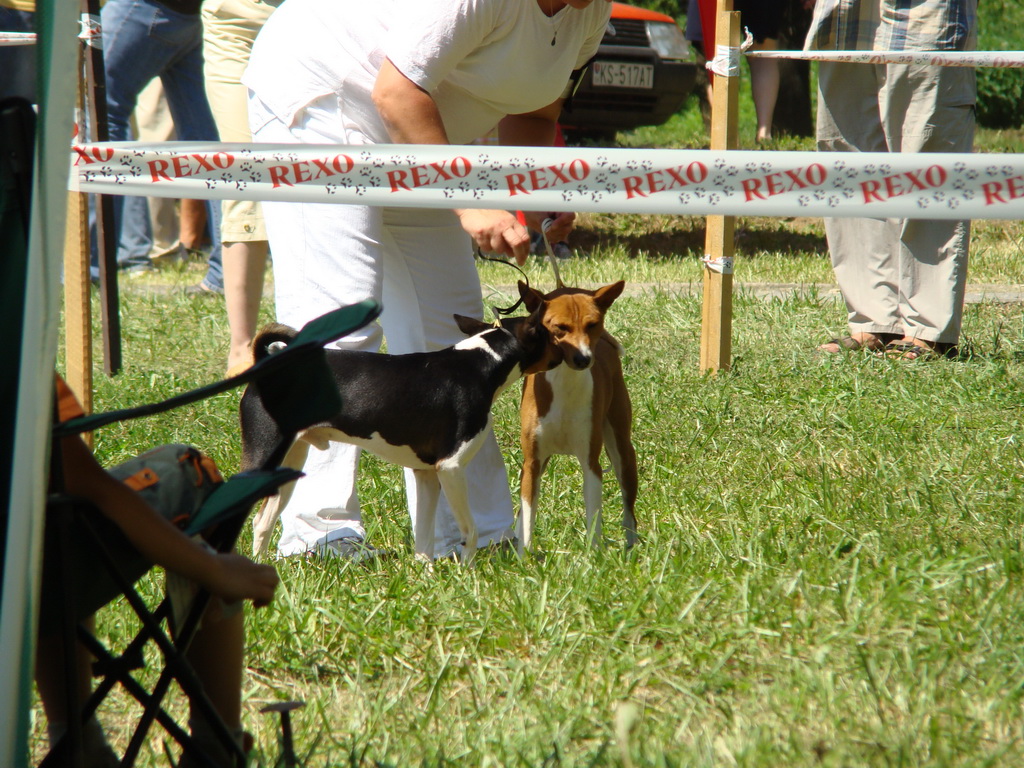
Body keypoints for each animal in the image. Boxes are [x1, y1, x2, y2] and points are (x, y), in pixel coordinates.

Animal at [516, 282, 634, 552]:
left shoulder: (590, 462)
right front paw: (524, 556)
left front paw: (594, 556)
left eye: (592, 324)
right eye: (560, 327)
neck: (564, 386)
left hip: (623, 451)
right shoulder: (532, 462)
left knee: (629, 509)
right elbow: (527, 517)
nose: (583, 358)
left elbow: (594, 518)